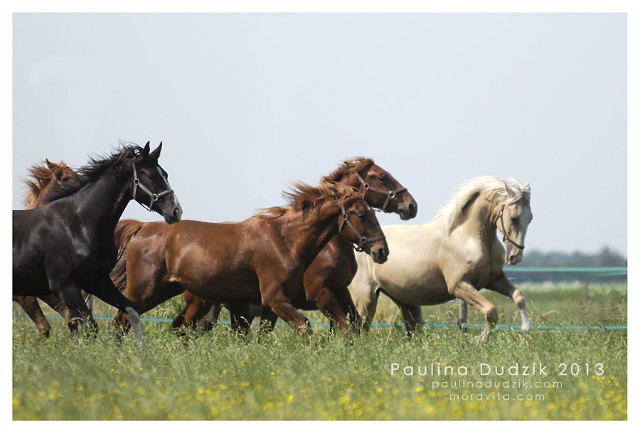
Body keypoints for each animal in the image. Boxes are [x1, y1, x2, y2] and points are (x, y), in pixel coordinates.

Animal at [112, 179, 388, 334]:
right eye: (361, 214)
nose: (382, 251)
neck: (285, 240)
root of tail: (142, 228)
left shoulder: (273, 304)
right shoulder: (283, 298)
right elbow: (309, 328)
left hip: (172, 292)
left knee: (172, 326)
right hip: (145, 291)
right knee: (123, 321)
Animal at [169, 157, 420, 332]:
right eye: (382, 177)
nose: (411, 206)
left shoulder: (340, 291)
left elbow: (353, 326)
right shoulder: (320, 294)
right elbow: (344, 327)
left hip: (237, 309)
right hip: (207, 305)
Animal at [348, 177, 532, 340]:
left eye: (530, 218)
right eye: (514, 218)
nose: (515, 257)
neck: (468, 236)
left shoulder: (493, 279)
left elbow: (519, 296)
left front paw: (526, 330)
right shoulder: (459, 286)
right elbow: (490, 311)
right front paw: (480, 340)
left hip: (406, 303)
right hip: (365, 300)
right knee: (360, 326)